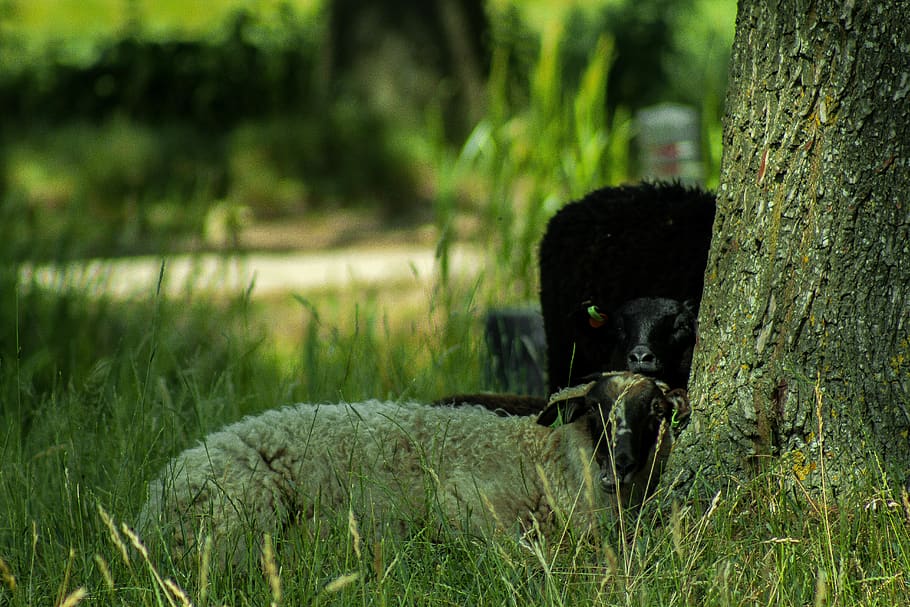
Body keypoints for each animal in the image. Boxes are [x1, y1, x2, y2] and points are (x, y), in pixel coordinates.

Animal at [139, 372, 688, 563]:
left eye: (655, 412)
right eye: (595, 411)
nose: (618, 471)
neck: (545, 459)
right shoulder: (468, 504)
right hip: (243, 523)